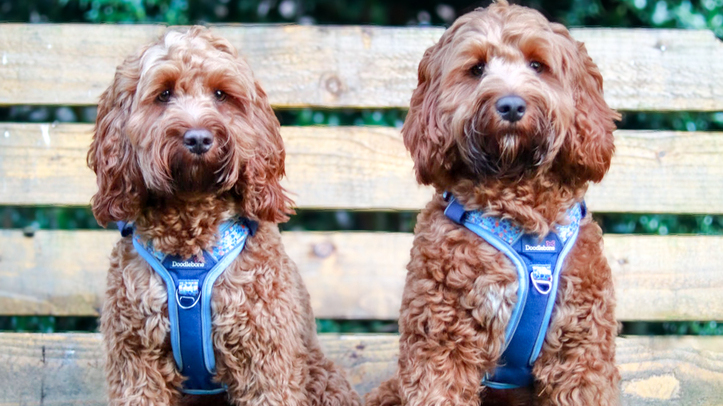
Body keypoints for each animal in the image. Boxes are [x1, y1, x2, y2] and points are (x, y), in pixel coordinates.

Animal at [87, 26, 361, 406]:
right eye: (164, 94)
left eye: (221, 94)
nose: (199, 138)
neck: (191, 243)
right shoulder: (136, 361)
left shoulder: (265, 359)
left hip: (324, 378)